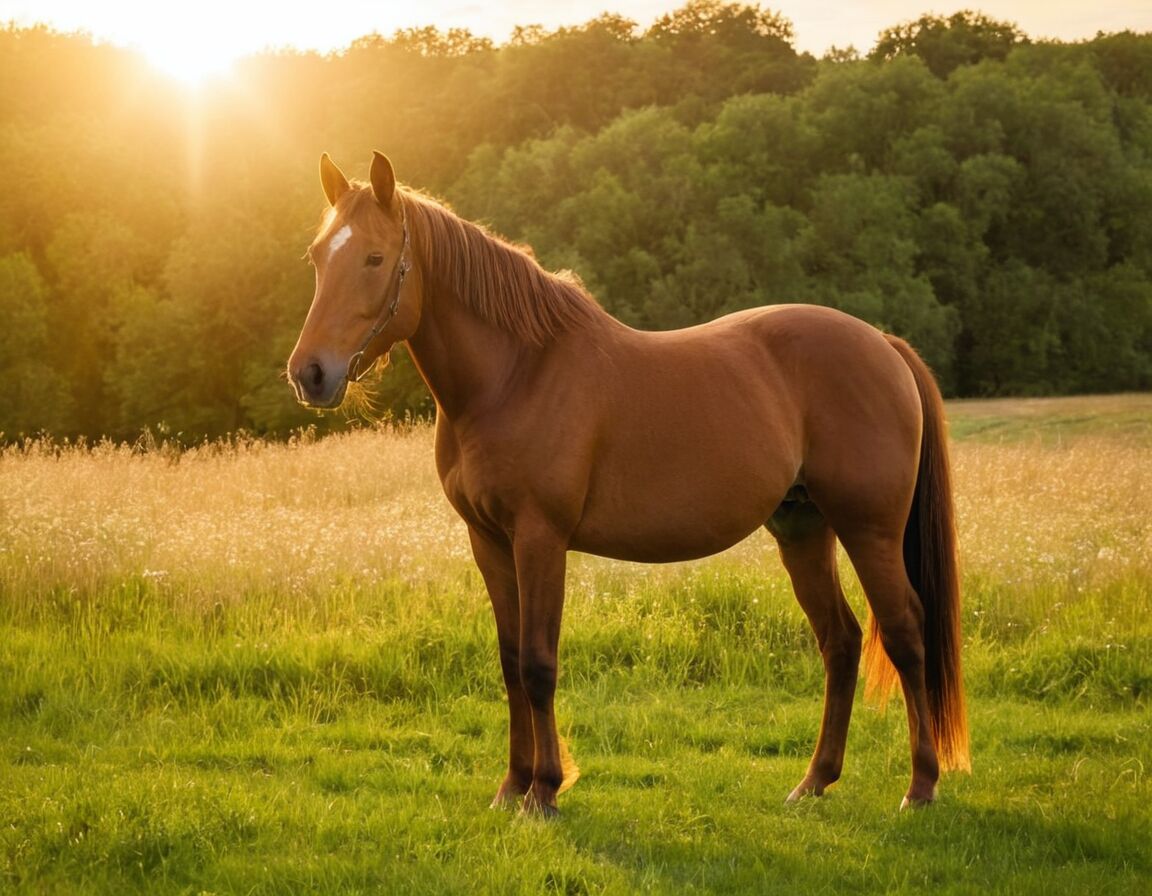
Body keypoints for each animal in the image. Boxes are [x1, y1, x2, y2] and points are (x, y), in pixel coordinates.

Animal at [285, 155, 963, 815]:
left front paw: (545, 791)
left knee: (904, 634)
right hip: (802, 530)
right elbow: (509, 662)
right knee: (840, 642)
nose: (310, 374)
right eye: (317, 257)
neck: (516, 375)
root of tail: (884, 344)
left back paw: (920, 786)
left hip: (869, 530)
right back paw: (813, 783)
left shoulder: (540, 539)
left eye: (375, 258)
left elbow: (538, 663)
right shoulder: (489, 542)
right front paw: (511, 787)